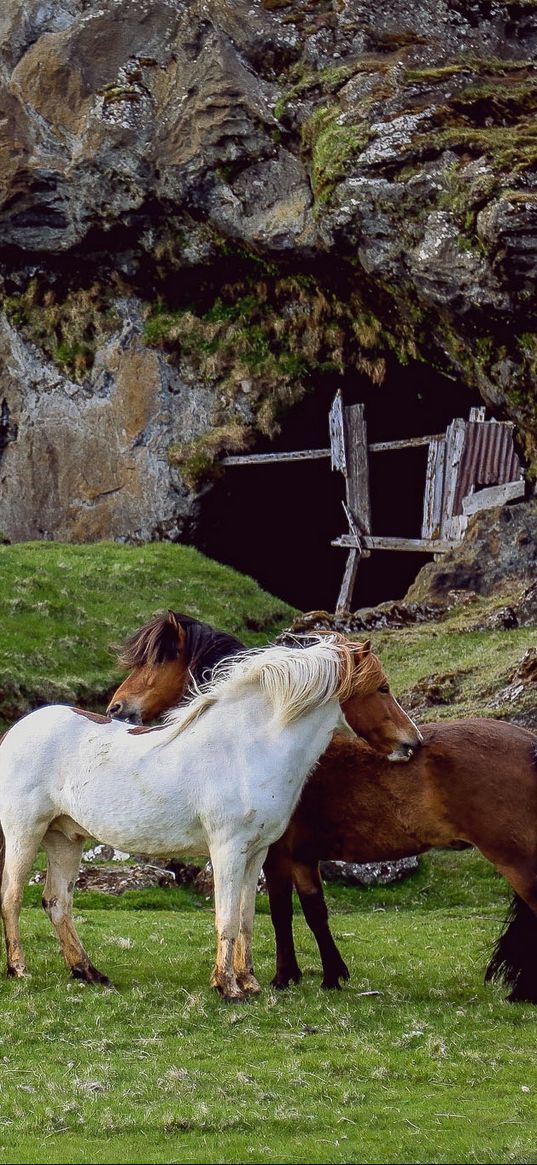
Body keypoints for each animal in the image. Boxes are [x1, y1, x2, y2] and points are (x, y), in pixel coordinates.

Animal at [0, 633, 363, 997]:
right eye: (375, 689)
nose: (118, 707)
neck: (246, 747)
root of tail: (13, 733)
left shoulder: (256, 852)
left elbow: (246, 917)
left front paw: (248, 982)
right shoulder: (228, 850)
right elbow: (228, 916)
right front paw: (228, 987)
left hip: (65, 840)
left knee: (57, 902)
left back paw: (88, 972)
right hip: (24, 834)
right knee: (12, 897)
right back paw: (19, 969)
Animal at [107, 610, 535, 1001]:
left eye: (157, 660)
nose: (116, 708)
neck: (264, 741)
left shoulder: (277, 854)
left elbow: (281, 911)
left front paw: (285, 976)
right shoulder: (300, 857)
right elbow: (314, 910)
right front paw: (331, 975)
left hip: (514, 858)